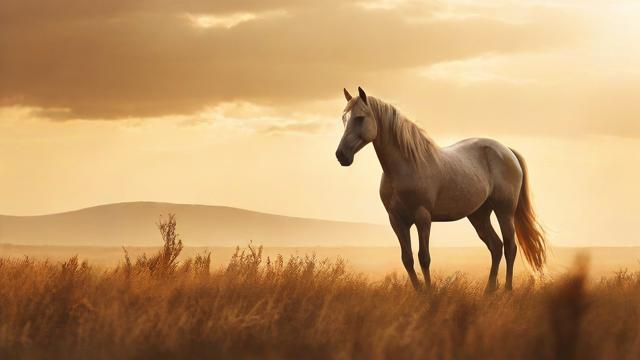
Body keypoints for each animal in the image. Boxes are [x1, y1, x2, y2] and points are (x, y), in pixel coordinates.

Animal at [336, 87, 544, 292]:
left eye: (360, 118)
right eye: (344, 118)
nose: (341, 155)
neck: (407, 165)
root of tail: (507, 151)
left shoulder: (423, 217)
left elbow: (424, 258)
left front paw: (429, 294)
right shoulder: (396, 220)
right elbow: (407, 259)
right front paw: (419, 293)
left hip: (504, 211)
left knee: (510, 247)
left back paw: (507, 290)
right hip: (479, 214)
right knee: (496, 246)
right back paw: (489, 291)